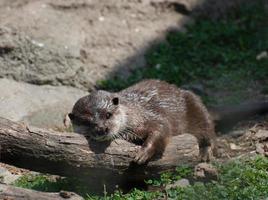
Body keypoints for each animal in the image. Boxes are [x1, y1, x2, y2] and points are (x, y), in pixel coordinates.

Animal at [68, 79, 217, 164]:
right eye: (86, 122)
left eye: (108, 114)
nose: (102, 129)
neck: (133, 114)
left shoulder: (149, 117)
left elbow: (162, 128)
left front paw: (143, 153)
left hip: (194, 103)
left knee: (207, 129)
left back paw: (205, 153)